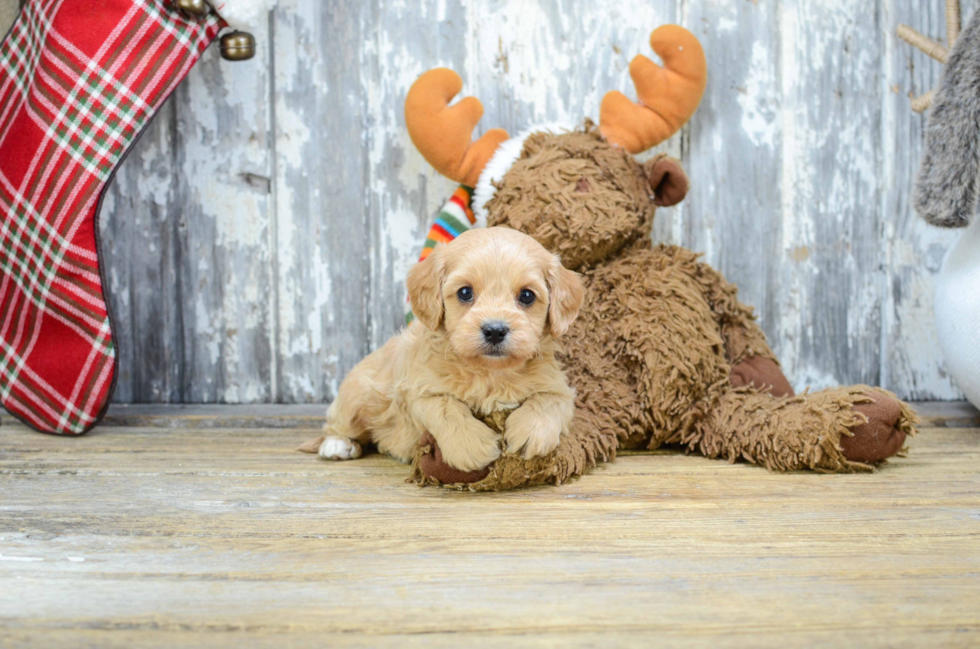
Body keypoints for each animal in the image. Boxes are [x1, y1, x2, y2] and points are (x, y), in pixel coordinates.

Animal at [320, 225, 580, 468]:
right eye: (465, 292)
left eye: (527, 296)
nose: (495, 330)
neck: (490, 373)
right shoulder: (416, 390)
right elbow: (445, 407)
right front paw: (473, 447)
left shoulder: (560, 387)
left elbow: (549, 401)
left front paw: (530, 433)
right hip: (357, 395)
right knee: (338, 424)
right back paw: (338, 445)